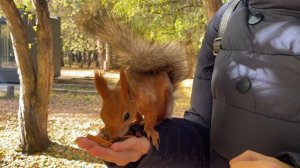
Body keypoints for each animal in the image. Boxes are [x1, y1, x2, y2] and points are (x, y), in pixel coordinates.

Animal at [76, 7, 191, 148]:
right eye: (101, 115)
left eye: (126, 116)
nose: (113, 137)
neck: (133, 92)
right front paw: (104, 128)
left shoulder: (149, 102)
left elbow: (150, 116)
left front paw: (150, 130)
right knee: (139, 116)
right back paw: (137, 121)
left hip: (166, 102)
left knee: (160, 116)